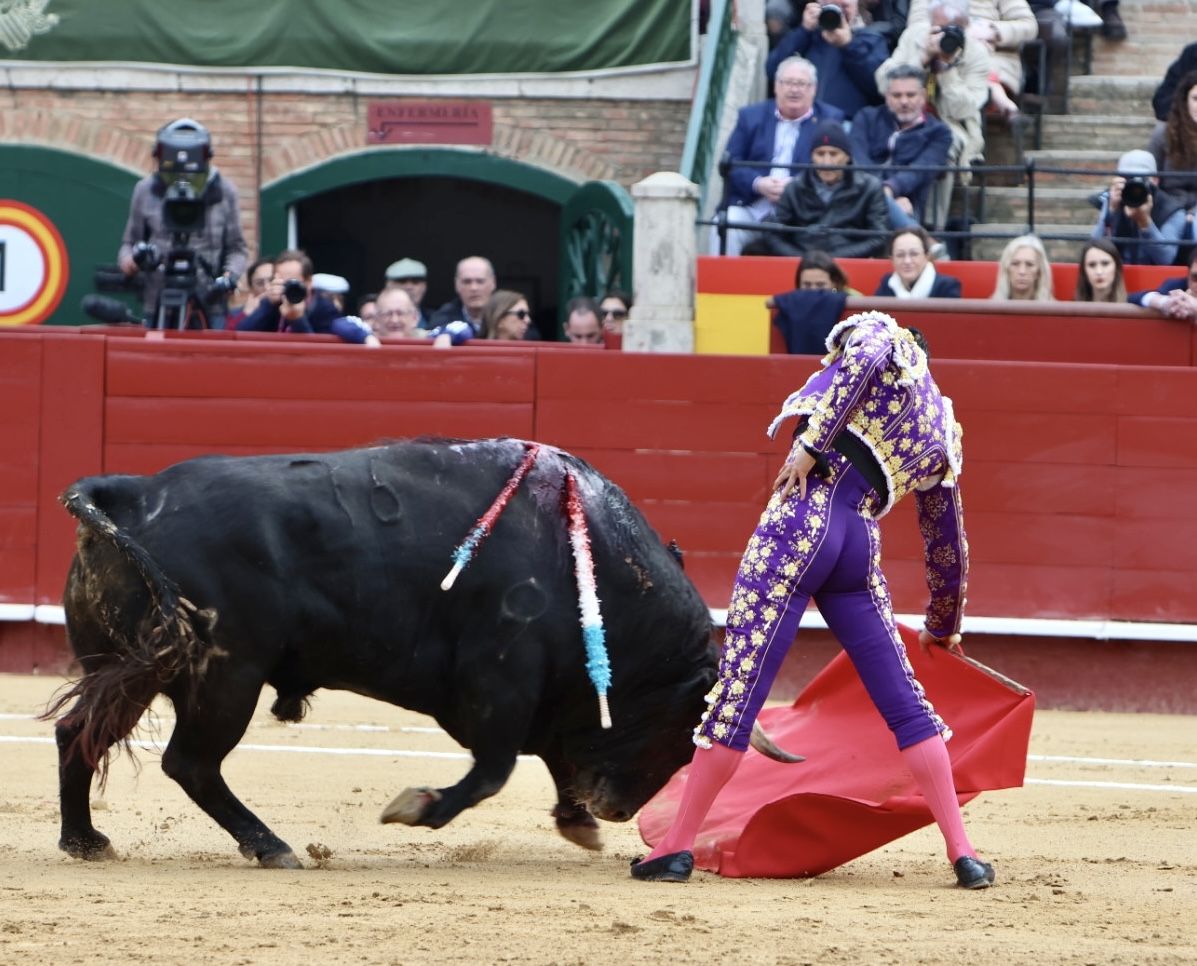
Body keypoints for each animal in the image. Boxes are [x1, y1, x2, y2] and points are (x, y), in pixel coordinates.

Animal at [46, 438, 722, 866]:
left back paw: (85, 841)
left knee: (80, 733)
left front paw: (576, 822)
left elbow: (550, 755)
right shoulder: (502, 678)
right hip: (227, 676)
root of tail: (133, 493)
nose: (618, 810)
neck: (586, 564)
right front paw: (419, 807)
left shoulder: (533, 694)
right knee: (190, 763)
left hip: (124, 671)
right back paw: (270, 846)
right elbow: (495, 769)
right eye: (682, 733)